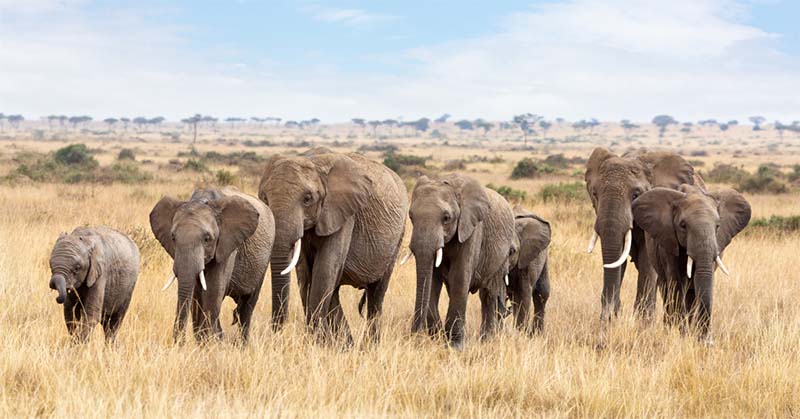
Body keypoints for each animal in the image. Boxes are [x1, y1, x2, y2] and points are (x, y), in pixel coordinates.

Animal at [150, 187, 276, 344]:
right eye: (173, 237)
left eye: (207, 238)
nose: (179, 344)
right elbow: (196, 296)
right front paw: (204, 342)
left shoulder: (227, 245)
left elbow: (213, 291)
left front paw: (211, 343)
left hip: (265, 258)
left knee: (247, 305)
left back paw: (241, 343)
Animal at [260, 149, 410, 342]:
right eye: (264, 198)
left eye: (307, 199)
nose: (277, 331)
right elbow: (306, 274)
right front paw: (321, 341)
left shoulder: (343, 213)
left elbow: (324, 269)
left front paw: (316, 342)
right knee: (335, 291)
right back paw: (348, 344)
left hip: (398, 236)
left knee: (376, 295)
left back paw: (369, 345)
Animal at [410, 174, 516, 352]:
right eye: (411, 216)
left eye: (446, 218)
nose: (414, 337)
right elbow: (432, 281)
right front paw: (438, 338)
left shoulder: (471, 229)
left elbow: (459, 277)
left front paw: (454, 347)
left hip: (502, 257)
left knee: (490, 295)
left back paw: (487, 341)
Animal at [632, 185, 752, 342]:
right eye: (683, 226)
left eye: (718, 226)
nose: (708, 342)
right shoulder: (668, 243)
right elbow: (677, 284)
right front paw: (682, 336)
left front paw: (695, 338)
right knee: (667, 290)